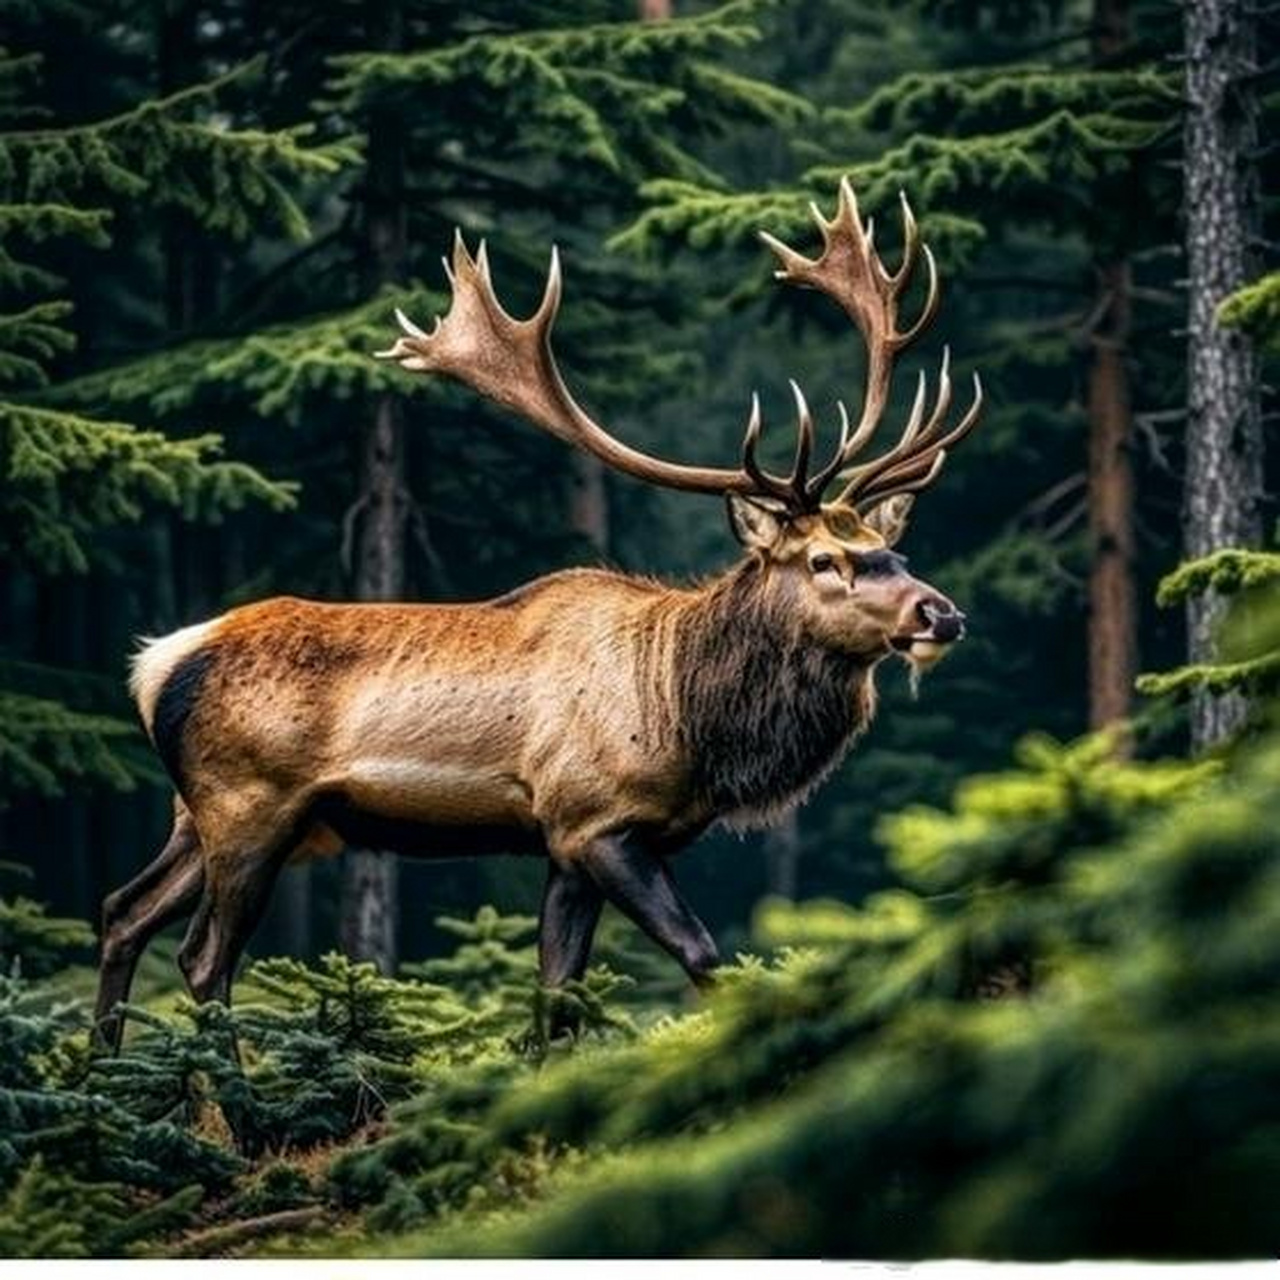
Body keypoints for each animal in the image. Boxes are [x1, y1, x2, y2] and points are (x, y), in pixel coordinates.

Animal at [94, 180, 977, 1049]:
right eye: (825, 559)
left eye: (893, 551)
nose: (941, 614)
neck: (689, 715)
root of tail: (155, 663)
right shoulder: (597, 819)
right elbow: (701, 954)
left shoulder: (567, 845)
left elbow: (557, 997)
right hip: (249, 805)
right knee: (204, 958)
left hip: (195, 813)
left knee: (121, 913)